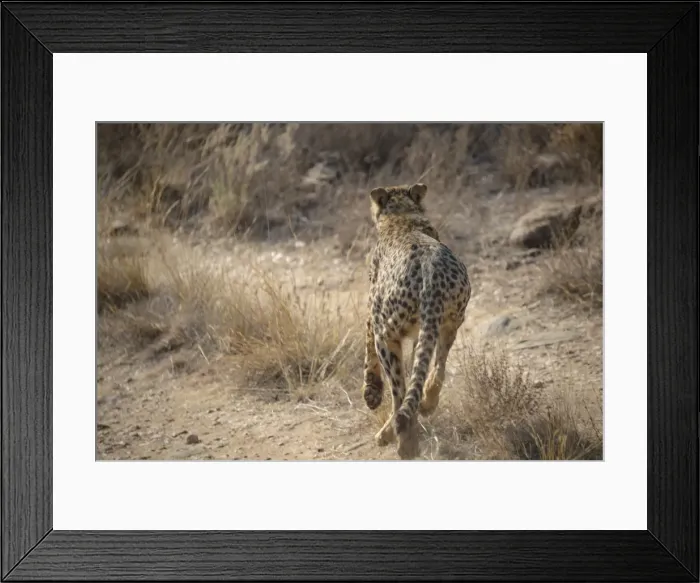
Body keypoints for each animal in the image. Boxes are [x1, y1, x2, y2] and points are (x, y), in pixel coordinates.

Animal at [361, 182, 471, 459]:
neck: (402, 215)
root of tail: (432, 275)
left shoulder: (373, 312)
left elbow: (367, 345)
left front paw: (371, 393)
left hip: (387, 333)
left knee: (400, 393)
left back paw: (402, 443)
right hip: (448, 323)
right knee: (436, 369)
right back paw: (426, 405)